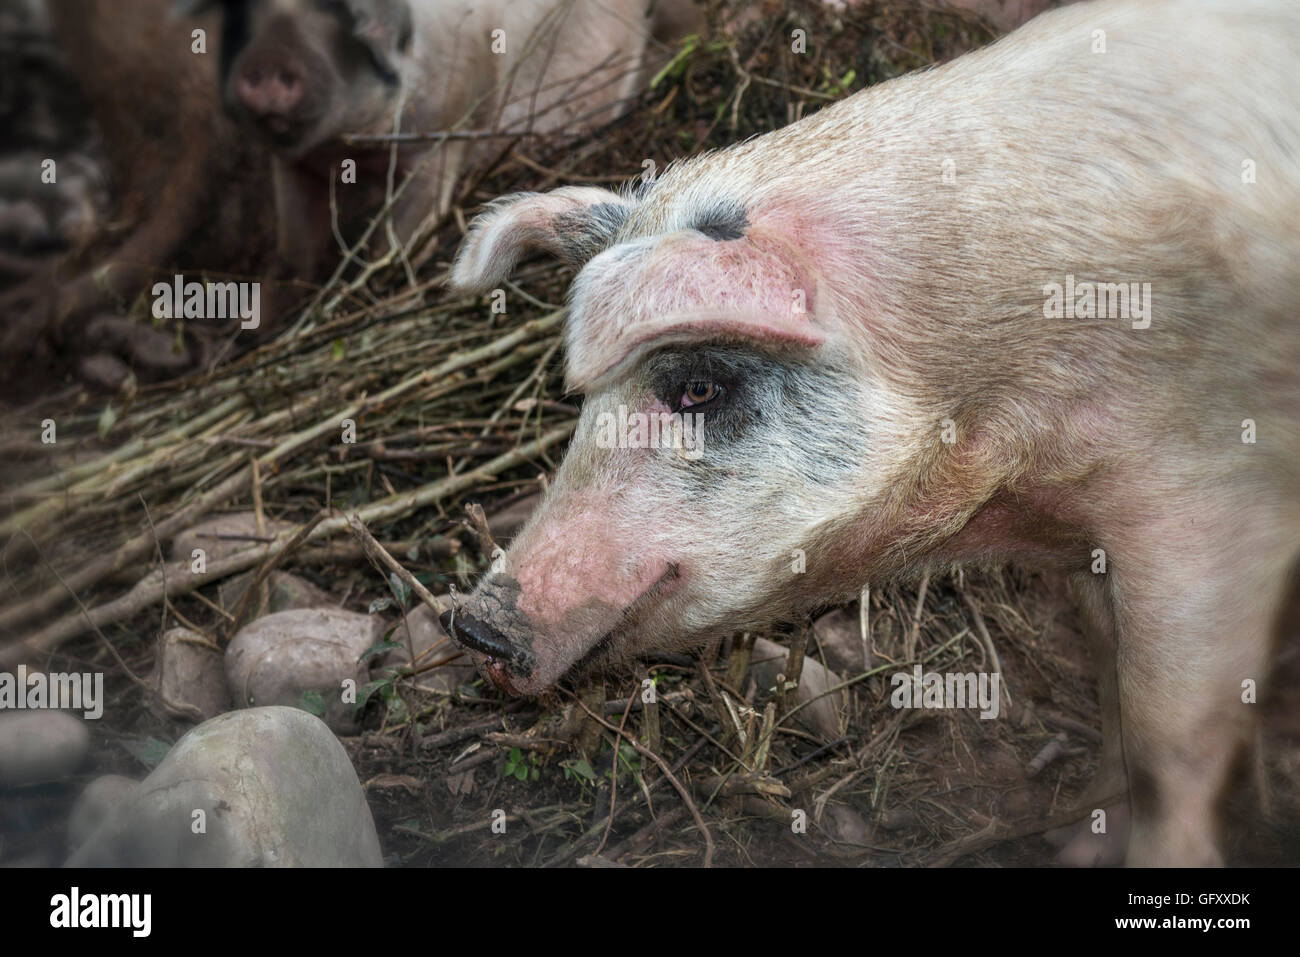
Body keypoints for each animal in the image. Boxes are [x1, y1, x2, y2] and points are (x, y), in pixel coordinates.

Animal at [175, 0, 702, 280]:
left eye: (338, 13)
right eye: (245, 14)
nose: (269, 60)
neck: (355, 149)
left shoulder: (442, 139)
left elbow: (397, 240)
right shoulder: (293, 164)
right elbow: (294, 252)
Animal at [444, 0, 1300, 868]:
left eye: (699, 386)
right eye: (587, 402)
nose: (476, 625)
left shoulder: (1212, 500)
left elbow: (1167, 737)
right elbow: (1108, 674)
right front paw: (1075, 842)